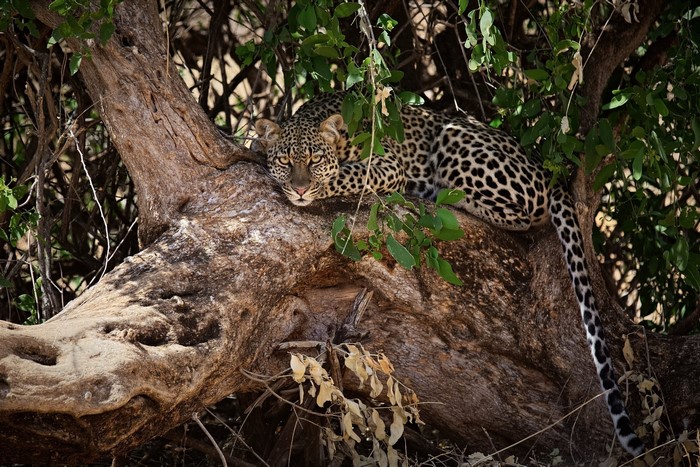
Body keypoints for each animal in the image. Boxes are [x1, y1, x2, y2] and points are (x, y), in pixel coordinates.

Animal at [255, 92, 645, 456]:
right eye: (286, 161)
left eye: (314, 160)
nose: (300, 188)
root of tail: (549, 173)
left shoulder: (386, 164)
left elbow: (344, 173)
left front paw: (320, 183)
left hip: (457, 138)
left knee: (527, 214)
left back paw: (442, 194)